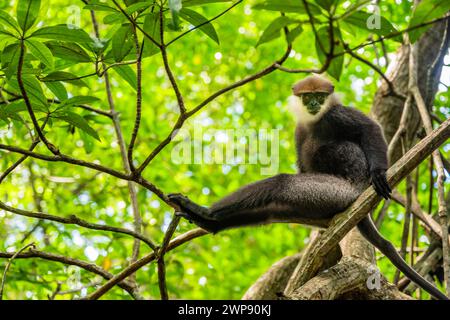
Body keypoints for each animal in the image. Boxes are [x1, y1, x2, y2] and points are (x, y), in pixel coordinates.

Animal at [168, 75, 446, 300]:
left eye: (320, 97)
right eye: (307, 97)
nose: (314, 105)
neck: (315, 120)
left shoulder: (337, 114)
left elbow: (370, 128)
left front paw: (379, 174)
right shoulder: (299, 130)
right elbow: (302, 163)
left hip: (338, 192)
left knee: (282, 183)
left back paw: (206, 213)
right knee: (274, 209)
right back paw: (209, 221)